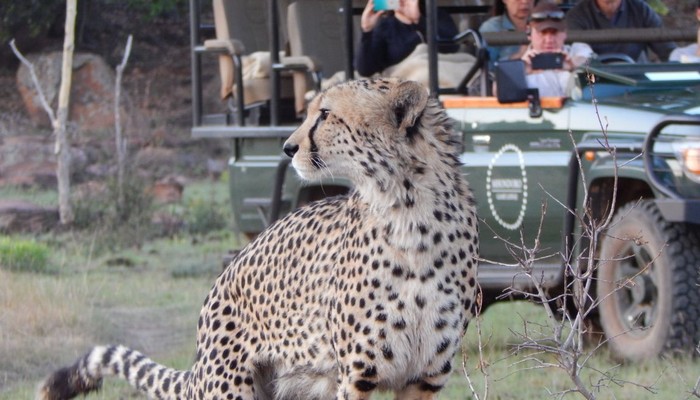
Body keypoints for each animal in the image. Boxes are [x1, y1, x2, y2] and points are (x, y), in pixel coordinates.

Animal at [37, 79, 476, 400]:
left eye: (326, 115)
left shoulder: (425, 376)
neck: (409, 210)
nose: (288, 147)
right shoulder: (357, 373)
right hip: (232, 388)